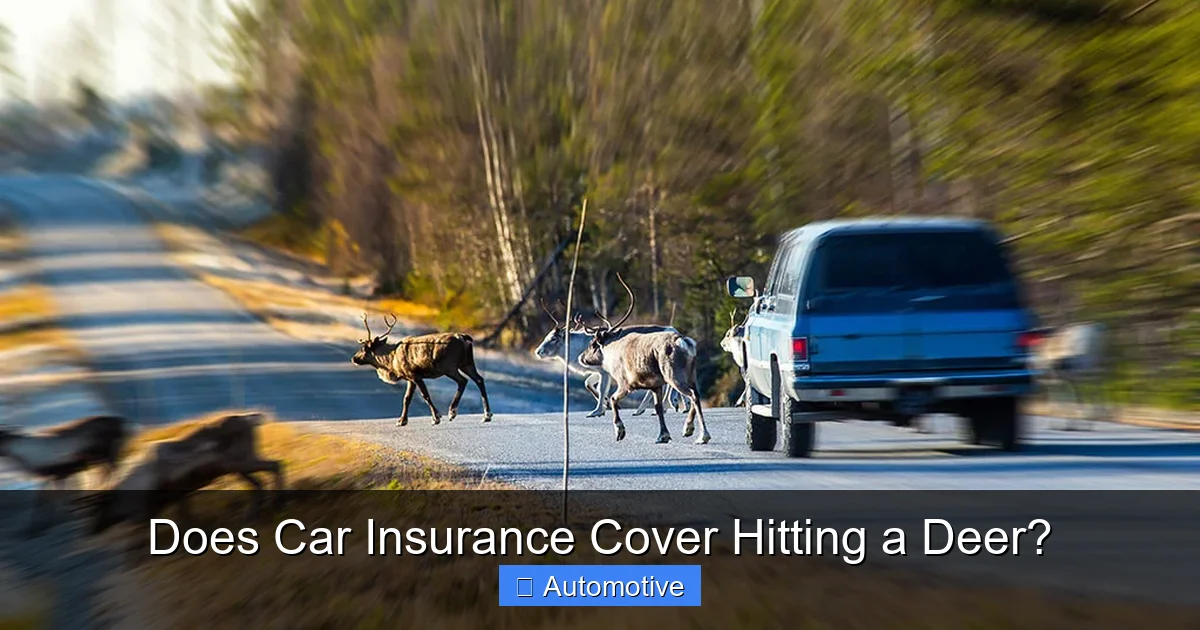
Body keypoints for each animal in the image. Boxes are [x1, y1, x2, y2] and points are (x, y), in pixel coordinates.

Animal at [0, 414, 130, 533]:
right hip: (99, 459)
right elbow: (42, 499)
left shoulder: (58, 473)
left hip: (107, 453)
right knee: (106, 472)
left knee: (113, 469)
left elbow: (57, 498)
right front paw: (36, 526)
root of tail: (121, 421)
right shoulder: (49, 476)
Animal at [87, 411, 284, 534]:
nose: (91, 530)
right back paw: (253, 514)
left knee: (275, 464)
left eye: (100, 508)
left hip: (242, 462)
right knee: (259, 483)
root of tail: (250, 419)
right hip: (237, 468)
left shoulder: (174, 494)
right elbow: (186, 518)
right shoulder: (177, 495)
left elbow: (184, 520)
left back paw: (277, 503)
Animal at [351, 313, 493, 426]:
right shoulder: (410, 379)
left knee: (463, 381)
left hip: (449, 366)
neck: (392, 361)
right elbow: (406, 399)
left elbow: (425, 395)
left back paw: (452, 412)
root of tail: (465, 338)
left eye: (364, 348)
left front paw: (436, 418)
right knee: (479, 379)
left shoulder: (415, 375)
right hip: (467, 363)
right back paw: (487, 415)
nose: (354, 358)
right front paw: (401, 421)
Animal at [578, 275, 710, 445]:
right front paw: (663, 435)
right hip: (691, 375)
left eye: (592, 344)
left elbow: (613, 399)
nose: (582, 357)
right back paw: (688, 428)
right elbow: (658, 408)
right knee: (696, 394)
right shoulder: (655, 385)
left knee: (692, 395)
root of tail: (684, 341)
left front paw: (619, 430)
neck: (611, 349)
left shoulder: (625, 383)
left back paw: (702, 435)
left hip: (674, 375)